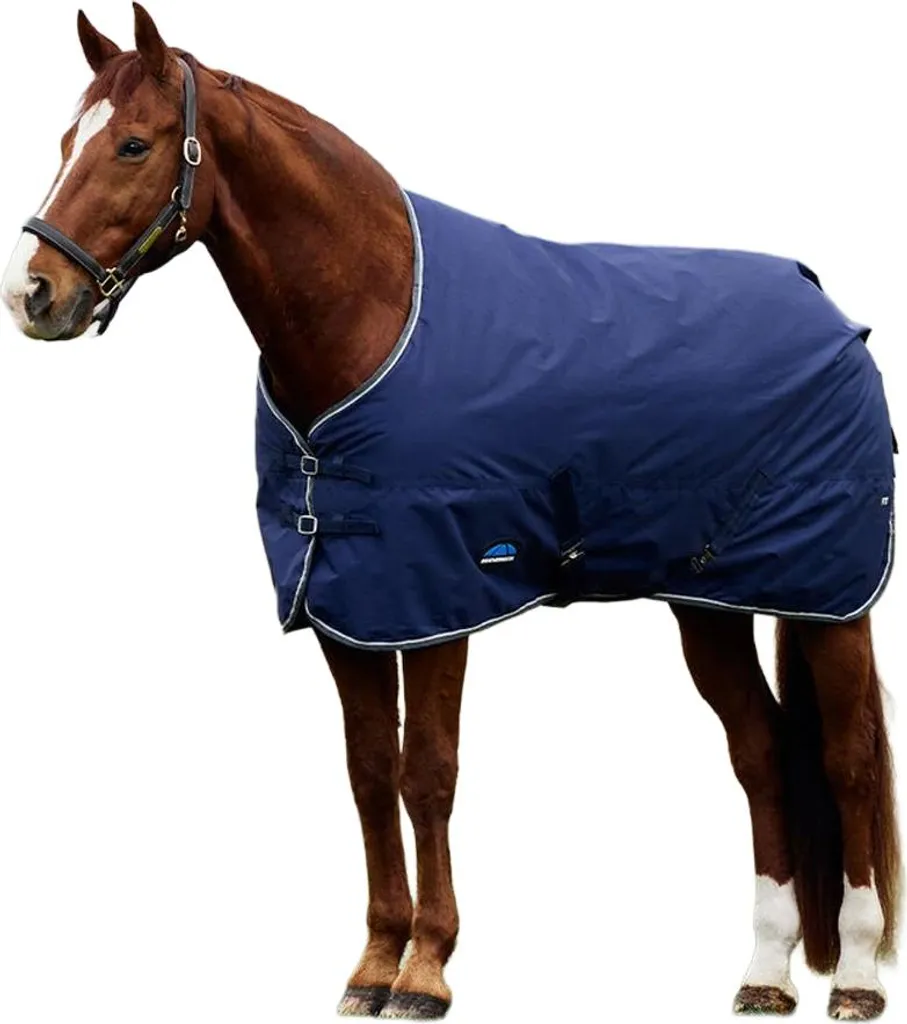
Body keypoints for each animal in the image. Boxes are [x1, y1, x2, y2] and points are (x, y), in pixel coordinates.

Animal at [1, 6, 900, 1020]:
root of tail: (832, 316)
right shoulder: (344, 606)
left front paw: (425, 970)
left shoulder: (438, 599)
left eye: (133, 144)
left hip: (830, 599)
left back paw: (854, 976)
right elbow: (367, 773)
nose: (32, 294)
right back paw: (763, 973)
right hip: (708, 604)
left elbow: (426, 772)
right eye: (65, 141)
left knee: (847, 758)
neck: (373, 319)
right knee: (760, 753)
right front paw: (371, 964)